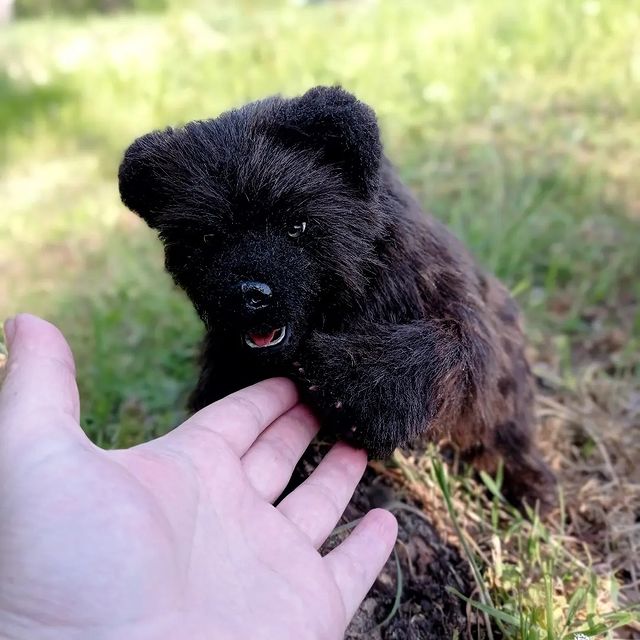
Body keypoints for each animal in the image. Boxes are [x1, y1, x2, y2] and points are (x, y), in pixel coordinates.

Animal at [118, 86, 555, 509]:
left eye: (296, 225)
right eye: (208, 238)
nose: (248, 296)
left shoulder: (455, 305)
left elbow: (451, 344)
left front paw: (351, 384)